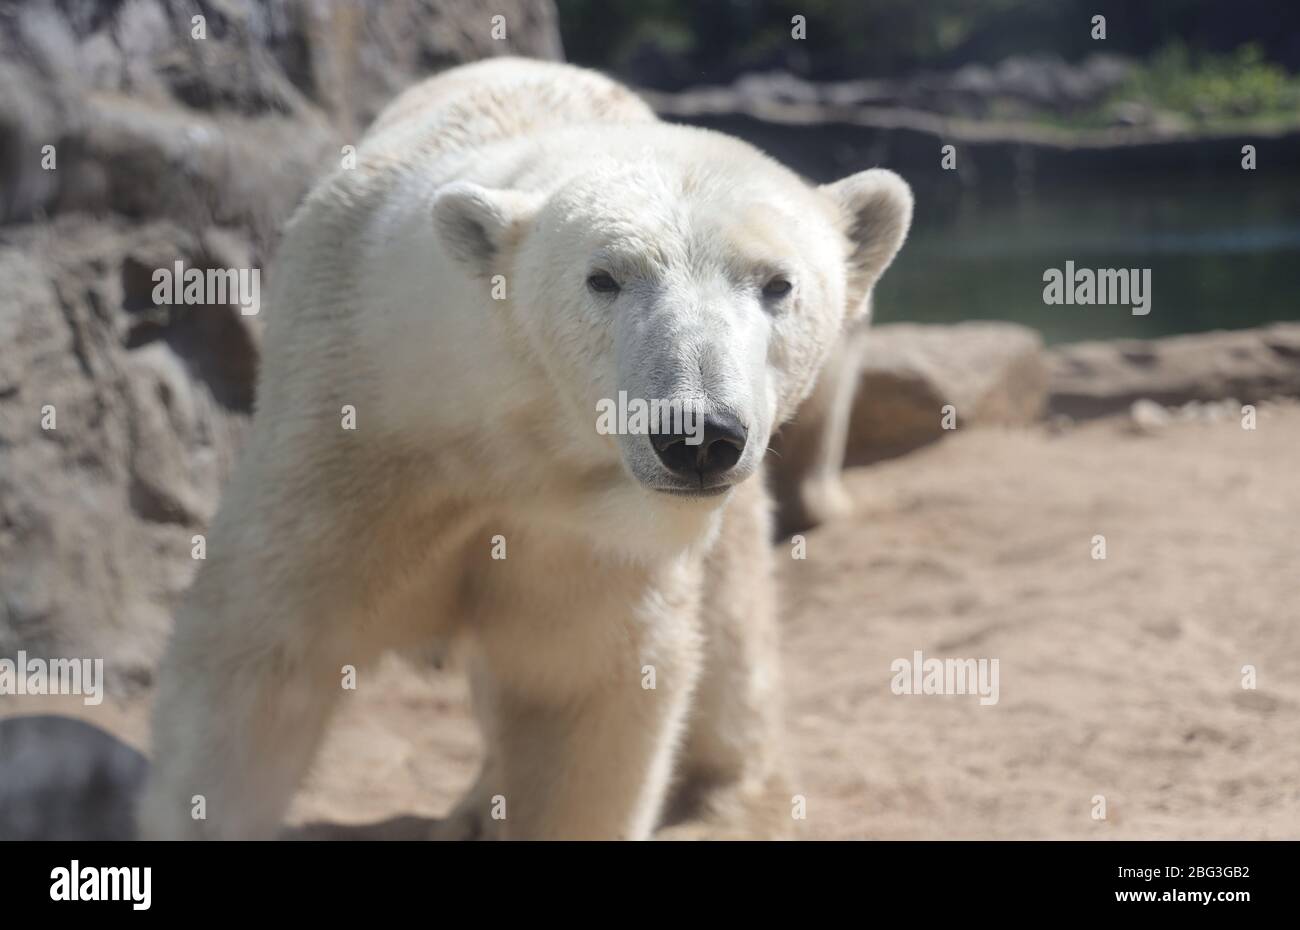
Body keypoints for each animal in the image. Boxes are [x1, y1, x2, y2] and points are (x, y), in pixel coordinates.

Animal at [139, 58, 915, 842]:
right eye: (603, 278)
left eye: (778, 284)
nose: (697, 434)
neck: (501, 436)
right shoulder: (341, 443)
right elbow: (256, 664)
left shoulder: (588, 535)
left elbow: (581, 689)